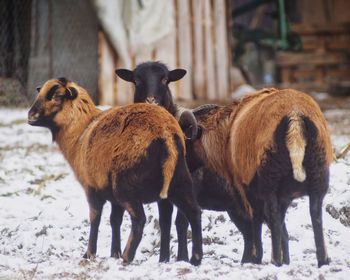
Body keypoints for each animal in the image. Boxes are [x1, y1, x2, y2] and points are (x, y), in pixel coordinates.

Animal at [28, 77, 204, 266]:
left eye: (58, 96)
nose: (30, 116)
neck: (80, 132)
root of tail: (166, 134)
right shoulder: (112, 197)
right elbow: (115, 221)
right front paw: (114, 253)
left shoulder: (92, 189)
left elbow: (95, 219)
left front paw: (89, 254)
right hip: (180, 180)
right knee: (194, 212)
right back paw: (193, 258)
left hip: (125, 187)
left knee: (140, 219)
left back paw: (127, 257)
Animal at [116, 61, 258, 264]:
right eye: (136, 80)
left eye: (165, 79)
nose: (151, 101)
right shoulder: (163, 193)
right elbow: (165, 222)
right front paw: (164, 259)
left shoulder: (189, 187)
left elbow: (181, 222)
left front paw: (182, 258)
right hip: (234, 205)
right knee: (248, 231)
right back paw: (248, 260)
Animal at [185, 88, 332, 266]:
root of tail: (295, 118)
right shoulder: (284, 197)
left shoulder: (247, 190)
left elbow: (256, 222)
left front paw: (256, 258)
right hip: (318, 178)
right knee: (315, 214)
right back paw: (322, 261)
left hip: (269, 179)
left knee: (272, 216)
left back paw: (275, 260)